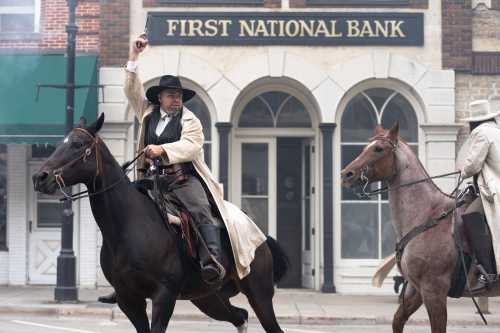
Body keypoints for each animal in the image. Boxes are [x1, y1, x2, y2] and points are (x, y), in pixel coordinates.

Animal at [32, 113, 290, 330]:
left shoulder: (163, 296)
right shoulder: (128, 299)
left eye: (77, 145)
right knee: (240, 316)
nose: (39, 177)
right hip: (209, 298)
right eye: (61, 142)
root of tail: (262, 238)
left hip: (259, 295)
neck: (126, 227)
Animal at [342, 122, 500, 332]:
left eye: (379, 149)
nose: (346, 174)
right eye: (365, 147)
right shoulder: (415, 289)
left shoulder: (434, 291)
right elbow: (398, 320)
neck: (426, 215)